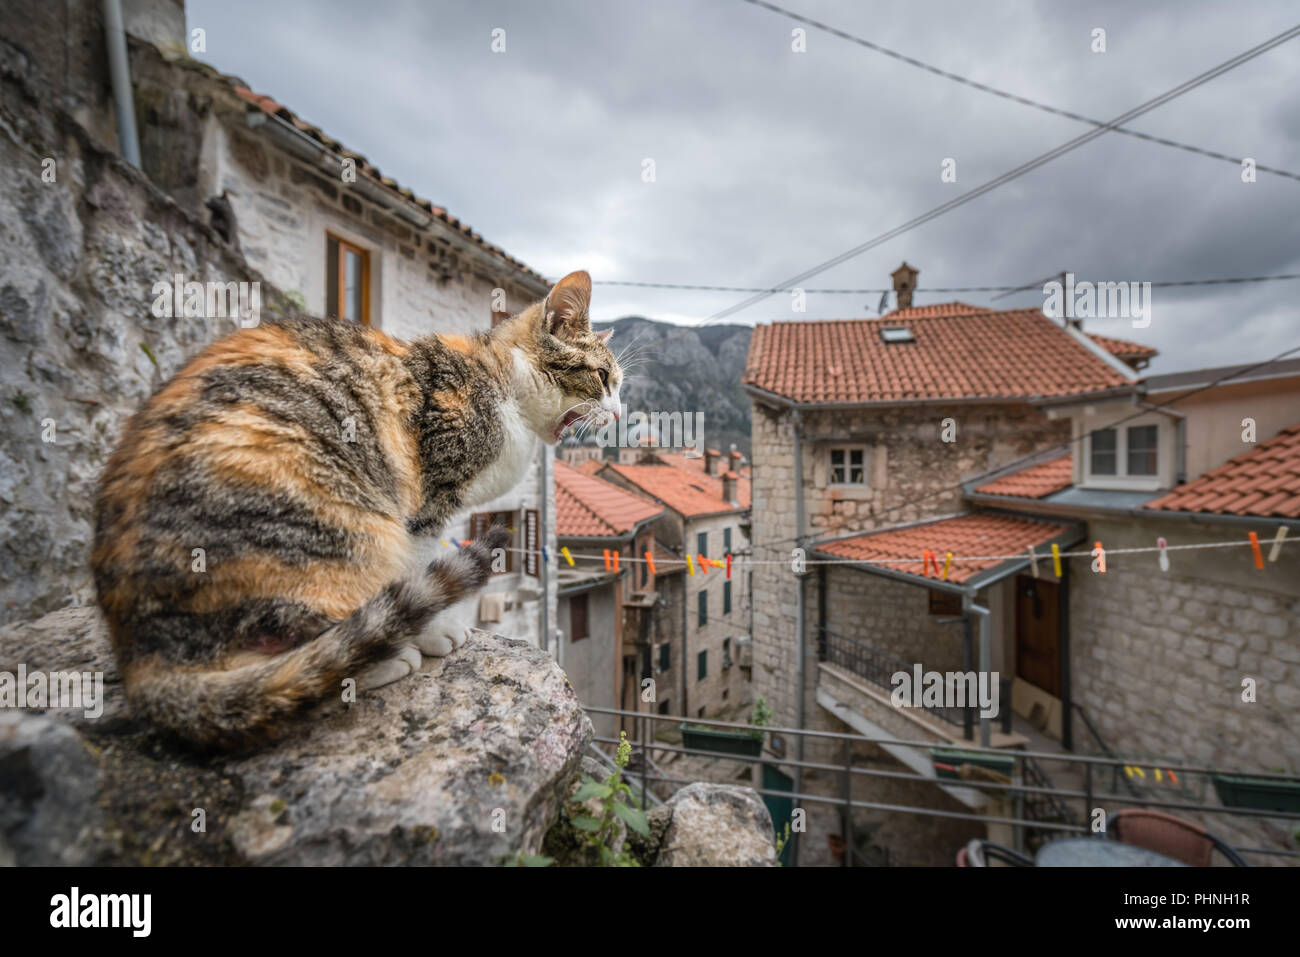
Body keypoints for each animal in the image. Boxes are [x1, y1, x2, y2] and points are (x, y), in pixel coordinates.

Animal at [89, 267, 621, 748]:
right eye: (602, 378)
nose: (619, 414)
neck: (499, 379)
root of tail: (139, 656)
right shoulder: (429, 495)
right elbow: (415, 562)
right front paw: (430, 632)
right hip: (332, 516)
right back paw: (376, 659)